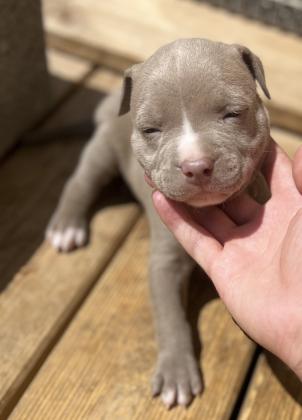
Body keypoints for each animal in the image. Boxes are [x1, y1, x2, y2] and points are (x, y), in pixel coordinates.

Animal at [46, 38, 270, 406]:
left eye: (233, 114)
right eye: (151, 129)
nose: (196, 165)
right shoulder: (165, 263)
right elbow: (170, 317)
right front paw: (177, 373)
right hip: (102, 149)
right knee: (80, 182)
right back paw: (67, 226)